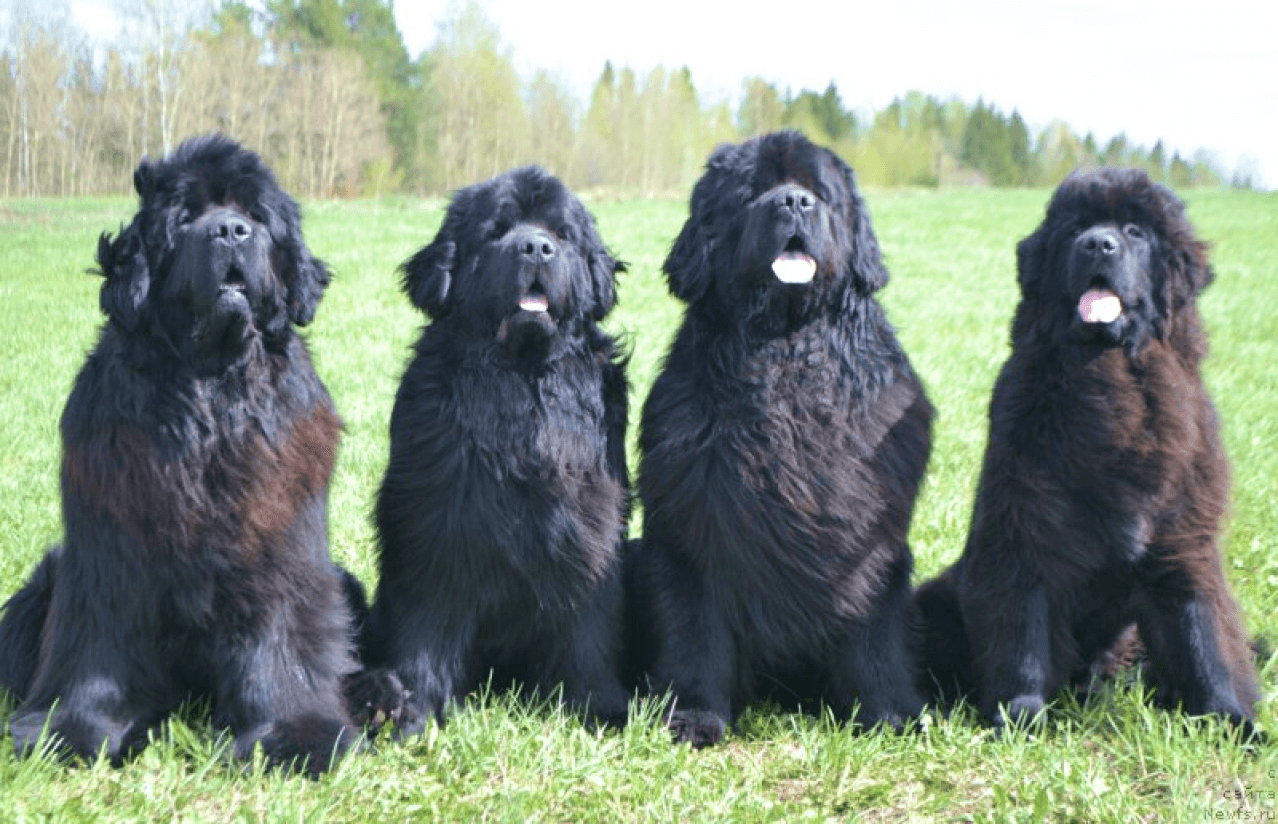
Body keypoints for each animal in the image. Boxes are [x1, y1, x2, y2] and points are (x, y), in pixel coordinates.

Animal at [0, 133, 360, 771]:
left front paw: (296, 734)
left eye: (254, 216)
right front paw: (73, 729)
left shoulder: (279, 545)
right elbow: (98, 645)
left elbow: (283, 639)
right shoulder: (109, 550)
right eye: (187, 217)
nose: (231, 232)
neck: (209, 386)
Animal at [362, 166, 631, 730]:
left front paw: (599, 707)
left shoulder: (589, 523)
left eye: (562, 234)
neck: (519, 379)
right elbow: (426, 624)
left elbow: (590, 623)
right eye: (496, 230)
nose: (536, 247)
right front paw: (417, 710)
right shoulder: (437, 522)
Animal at [633, 130, 935, 746]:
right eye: (752, 192)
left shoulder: (869, 546)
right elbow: (694, 633)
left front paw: (891, 713)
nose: (794, 202)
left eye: (819, 191)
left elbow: (877, 637)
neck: (785, 355)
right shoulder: (692, 533)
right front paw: (693, 714)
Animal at [915, 166, 1262, 725]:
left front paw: (1231, 719)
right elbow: (1023, 632)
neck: (1106, 373)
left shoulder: (1183, 540)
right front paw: (1019, 715)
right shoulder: (1021, 531)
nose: (1099, 243)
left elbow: (1204, 633)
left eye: (1135, 231)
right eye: (1075, 229)